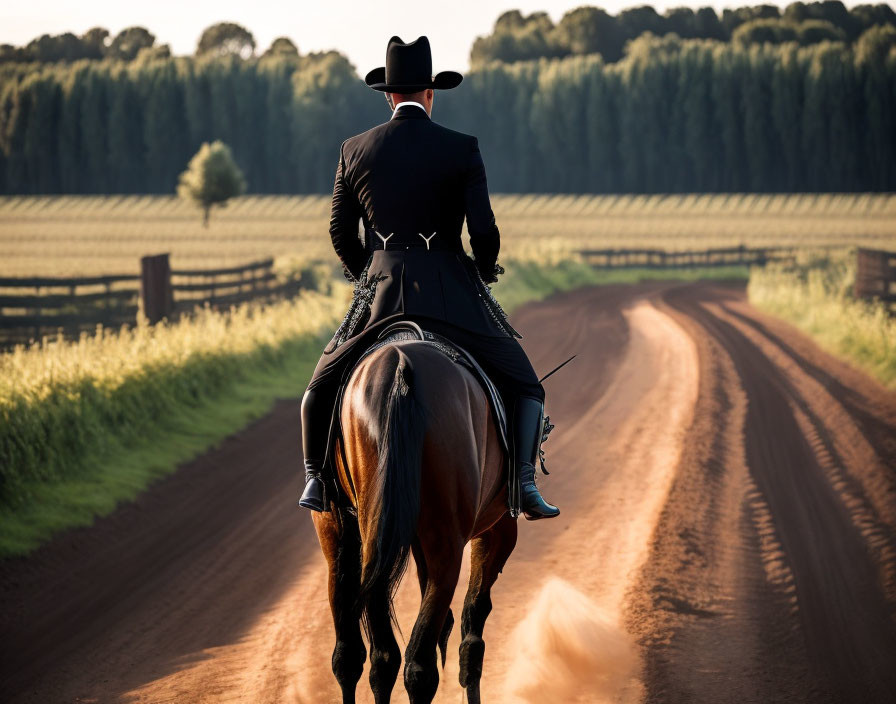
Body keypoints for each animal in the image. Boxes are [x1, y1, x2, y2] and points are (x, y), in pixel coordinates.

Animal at [312, 336, 520, 704]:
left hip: (348, 537)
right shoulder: (499, 528)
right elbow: (473, 621)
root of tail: (399, 367)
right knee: (420, 664)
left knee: (367, 657)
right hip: (447, 545)